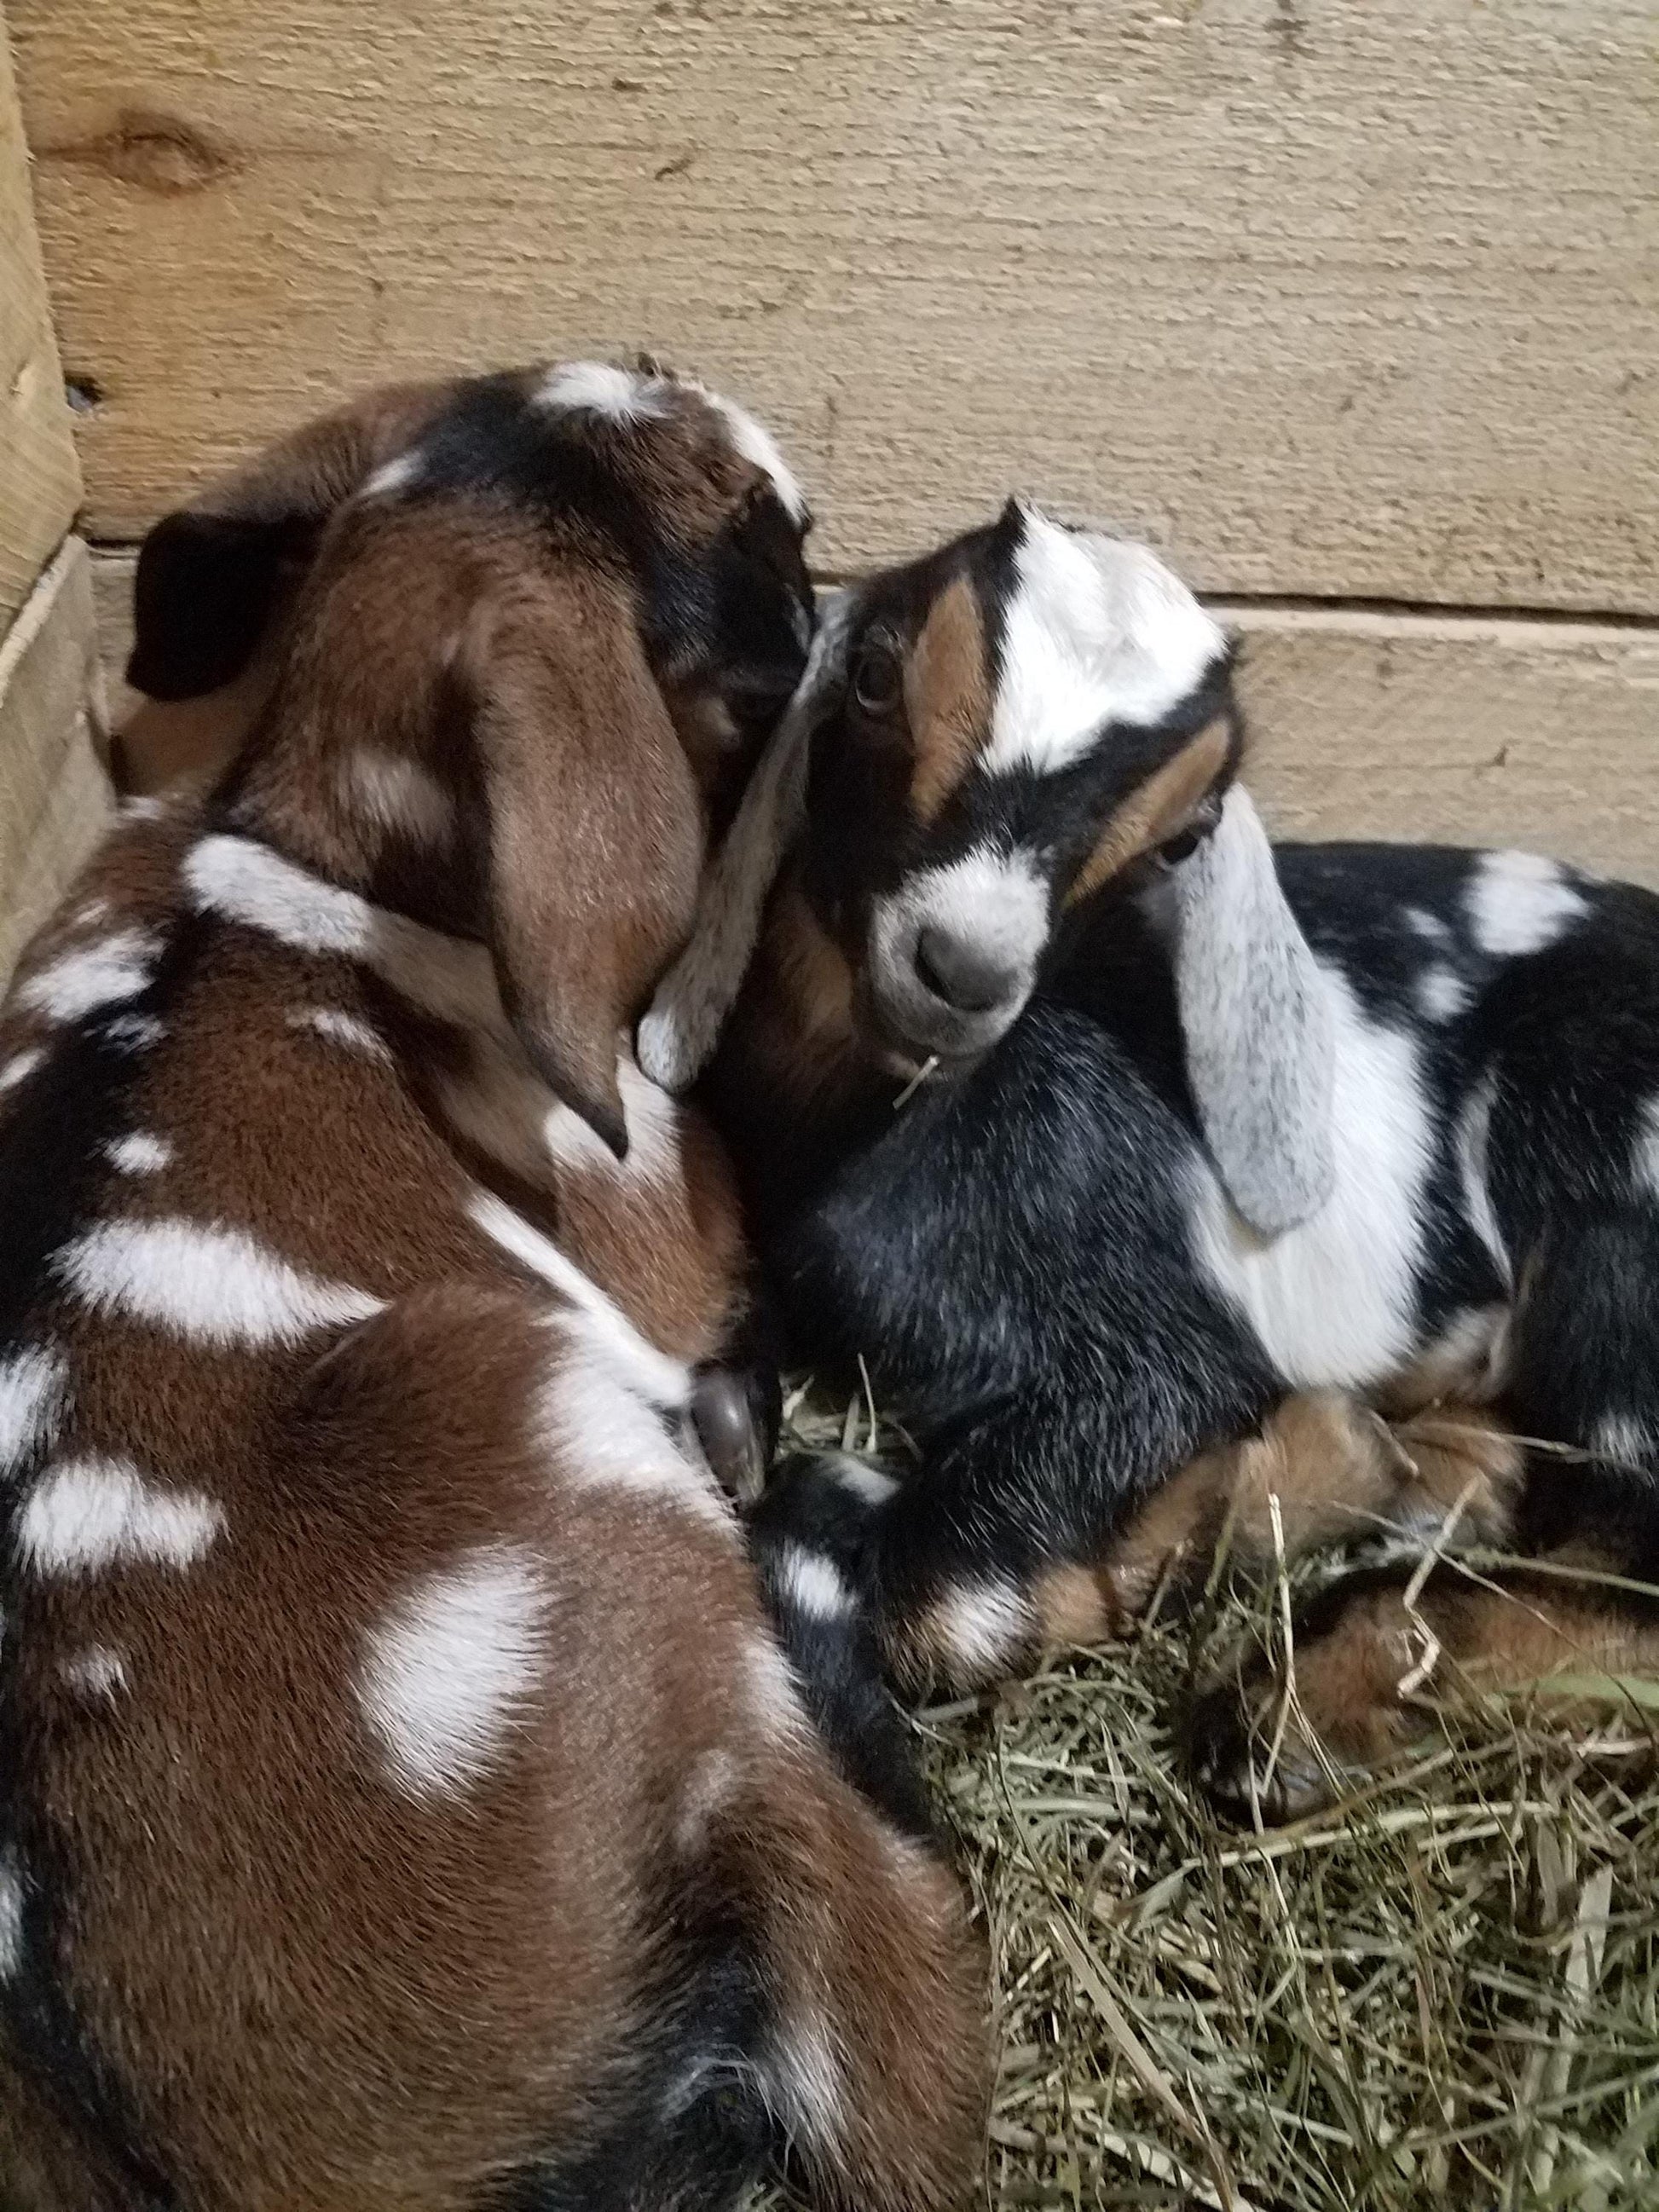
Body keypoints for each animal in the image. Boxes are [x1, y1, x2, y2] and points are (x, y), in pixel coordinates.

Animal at [0, 367, 986, 2212]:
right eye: (764, 558)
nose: (861, 615)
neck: (307, 860)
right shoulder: (652, 1205)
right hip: (540, 1433)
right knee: (893, 2038)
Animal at [641, 502, 1659, 1813]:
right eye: (869, 673)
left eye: (1180, 833)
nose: (960, 969)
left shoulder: (1147, 1341)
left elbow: (946, 1600)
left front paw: (1307, 1467)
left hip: (1605, 1205)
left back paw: (1303, 1705)